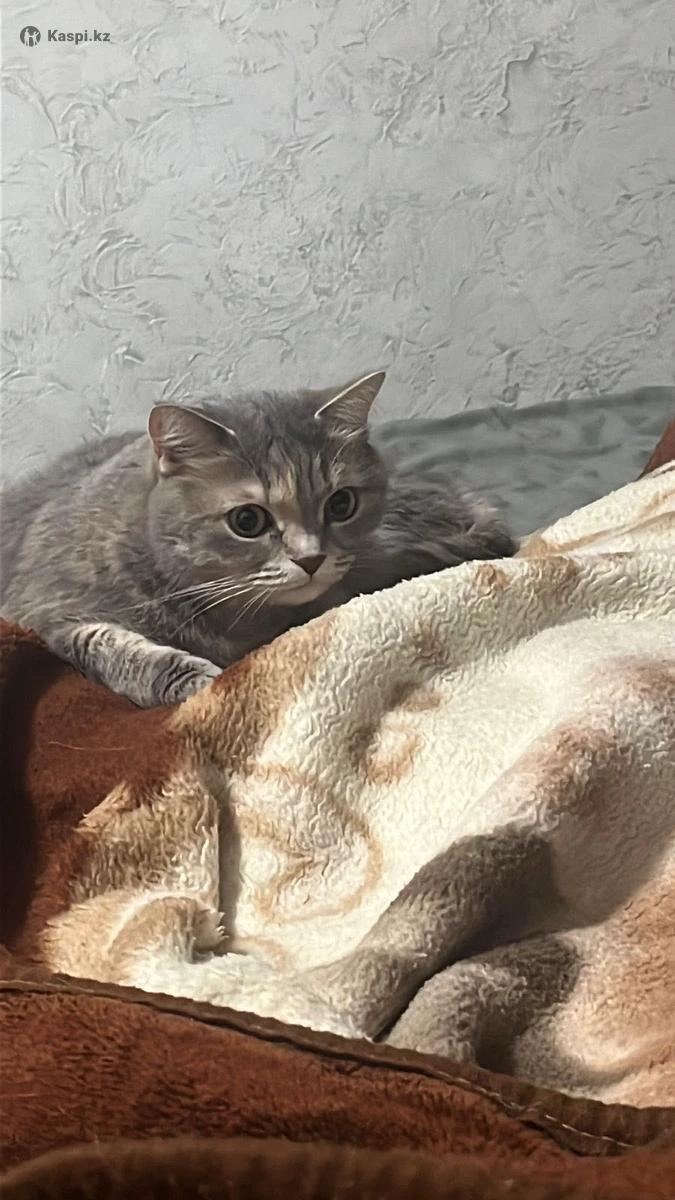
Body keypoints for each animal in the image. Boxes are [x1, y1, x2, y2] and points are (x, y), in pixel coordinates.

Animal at [1, 371, 516, 708]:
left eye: (341, 504)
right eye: (247, 520)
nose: (311, 558)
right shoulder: (47, 609)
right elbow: (109, 648)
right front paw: (196, 678)